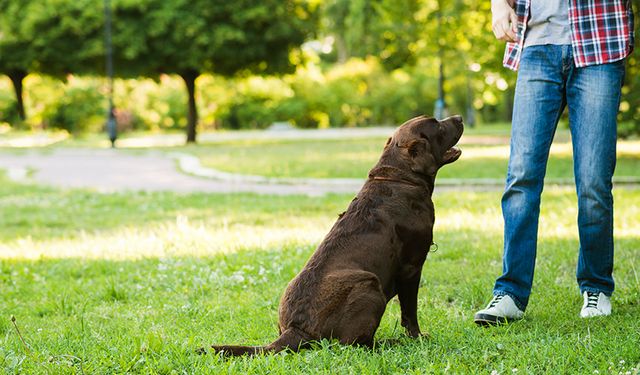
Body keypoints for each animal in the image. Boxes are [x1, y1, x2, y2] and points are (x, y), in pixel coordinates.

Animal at [208, 116, 462, 356]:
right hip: (369, 283)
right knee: (354, 344)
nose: (459, 117)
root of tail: (296, 328)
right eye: (436, 125)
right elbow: (410, 312)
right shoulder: (411, 267)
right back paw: (390, 342)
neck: (400, 177)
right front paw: (416, 337)